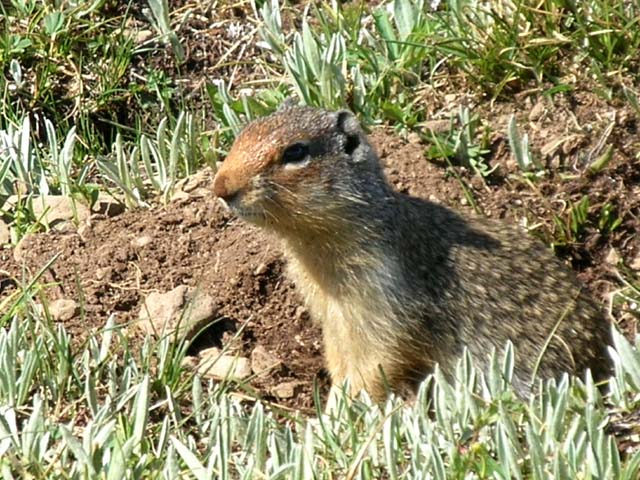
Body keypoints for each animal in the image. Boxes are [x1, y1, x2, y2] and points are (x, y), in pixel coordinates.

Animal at [212, 105, 612, 402]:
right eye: (244, 131)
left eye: (296, 151)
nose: (220, 187)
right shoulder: (334, 319)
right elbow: (341, 358)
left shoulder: (384, 303)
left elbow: (377, 363)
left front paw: (342, 411)